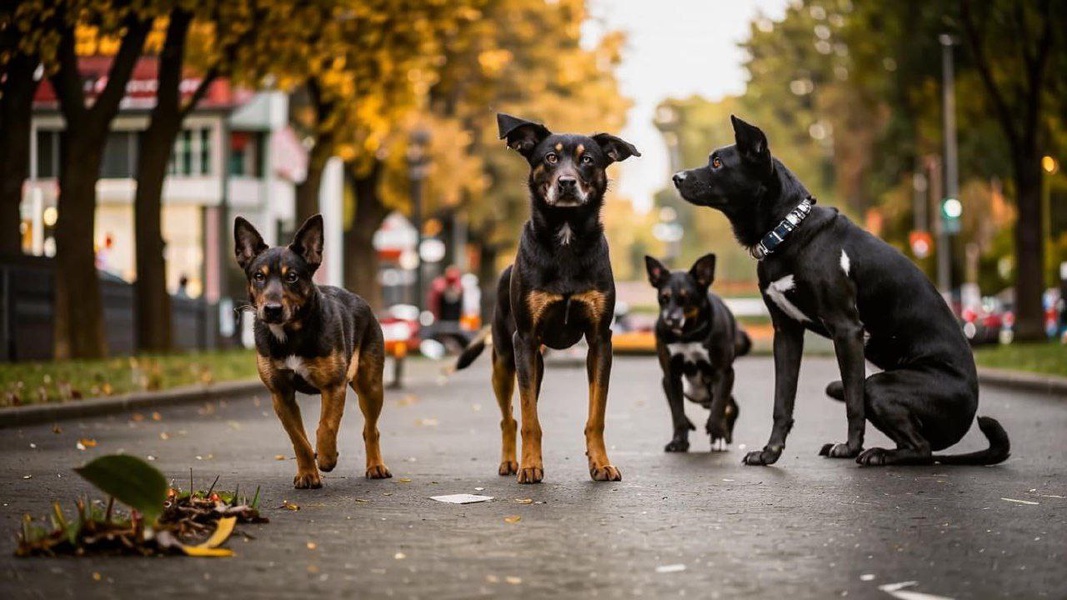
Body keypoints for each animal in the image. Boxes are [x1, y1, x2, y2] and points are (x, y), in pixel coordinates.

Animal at [233, 214, 392, 486]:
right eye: (258, 276)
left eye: (292, 276)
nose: (272, 309)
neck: (291, 334)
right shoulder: (280, 394)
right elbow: (299, 439)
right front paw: (308, 473)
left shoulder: (333, 386)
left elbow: (326, 425)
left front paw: (327, 457)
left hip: (370, 387)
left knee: (371, 429)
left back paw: (376, 466)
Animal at [452, 114, 635, 482]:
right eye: (550, 157)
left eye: (587, 159)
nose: (566, 182)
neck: (565, 235)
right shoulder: (524, 340)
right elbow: (529, 419)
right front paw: (530, 465)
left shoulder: (600, 341)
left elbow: (596, 415)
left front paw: (601, 463)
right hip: (505, 360)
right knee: (510, 417)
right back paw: (511, 462)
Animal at [640, 249, 751, 450]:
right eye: (663, 298)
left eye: (686, 299)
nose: (670, 319)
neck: (688, 335)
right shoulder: (670, 376)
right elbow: (677, 412)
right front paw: (679, 441)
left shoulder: (724, 373)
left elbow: (719, 407)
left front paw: (718, 434)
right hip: (693, 391)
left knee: (730, 406)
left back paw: (725, 433)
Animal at [674, 115, 1007, 467]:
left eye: (718, 162)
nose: (676, 178)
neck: (787, 231)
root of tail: (969, 412)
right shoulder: (786, 333)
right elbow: (782, 402)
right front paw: (770, 452)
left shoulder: (846, 330)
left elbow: (852, 400)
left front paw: (850, 448)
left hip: (880, 386)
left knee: (921, 447)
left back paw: (877, 454)